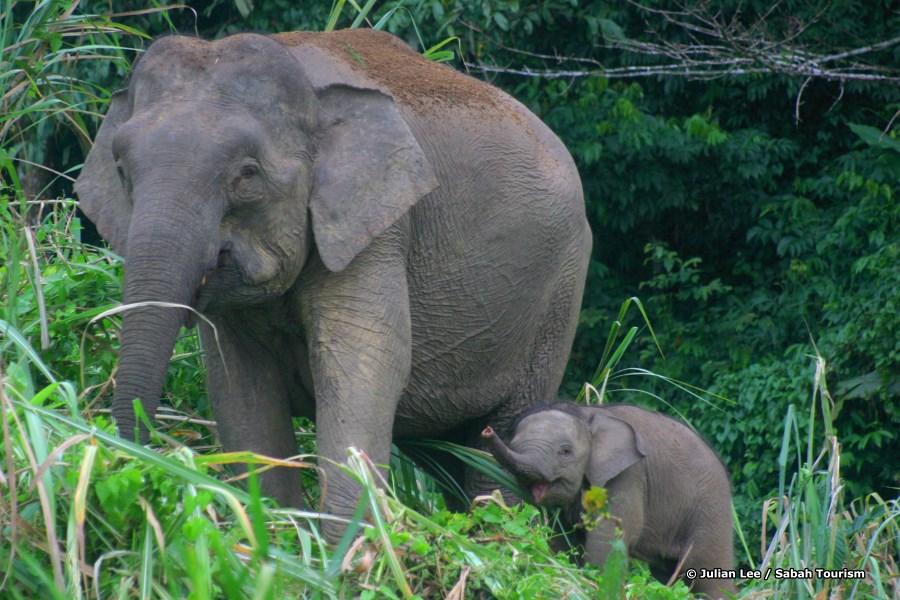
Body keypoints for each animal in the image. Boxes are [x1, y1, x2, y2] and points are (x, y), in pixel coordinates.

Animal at [74, 28, 588, 536]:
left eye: (247, 173)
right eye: (121, 170)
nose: (125, 466)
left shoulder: (378, 230)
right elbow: (239, 383)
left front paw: (347, 544)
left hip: (557, 295)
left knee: (501, 442)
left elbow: (367, 360)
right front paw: (278, 530)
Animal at [486, 400, 740, 596]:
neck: (584, 413)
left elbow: (607, 538)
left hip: (711, 508)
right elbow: (562, 541)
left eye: (565, 451)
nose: (486, 430)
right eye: (513, 445)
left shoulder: (629, 474)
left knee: (706, 575)